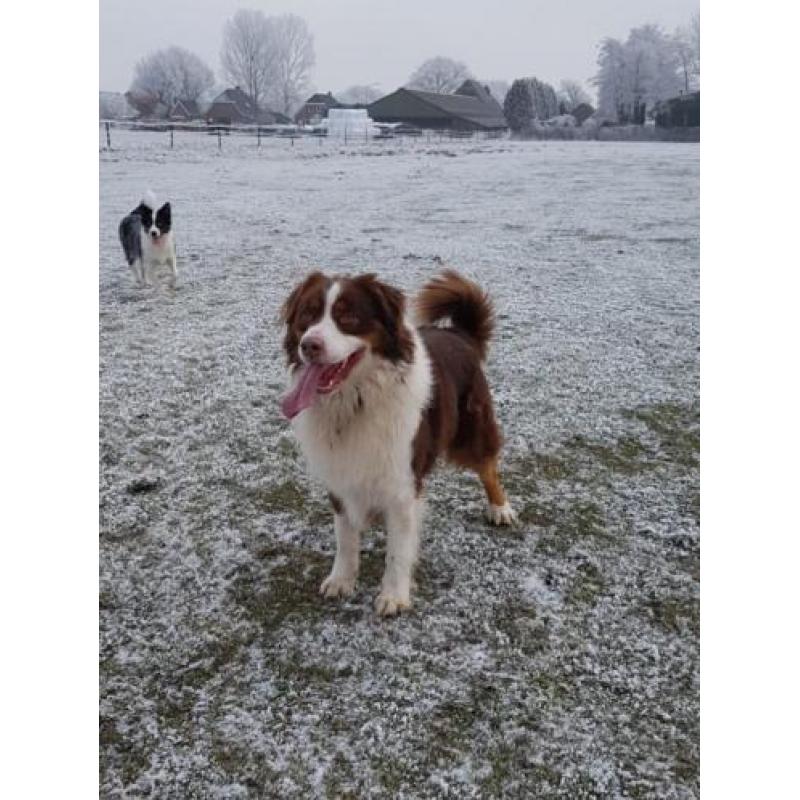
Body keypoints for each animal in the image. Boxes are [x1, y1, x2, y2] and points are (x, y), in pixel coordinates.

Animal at [282, 272, 516, 616]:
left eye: (348, 318)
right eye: (307, 316)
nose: (308, 345)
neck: (355, 401)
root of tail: (458, 333)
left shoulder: (402, 484)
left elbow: (399, 548)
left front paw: (394, 594)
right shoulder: (340, 475)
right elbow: (345, 537)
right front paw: (342, 579)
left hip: (471, 430)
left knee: (488, 466)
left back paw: (500, 508)